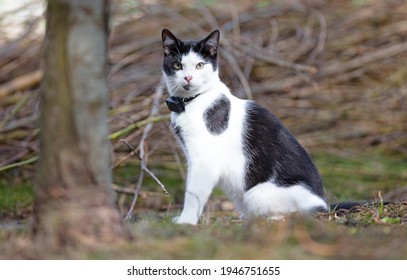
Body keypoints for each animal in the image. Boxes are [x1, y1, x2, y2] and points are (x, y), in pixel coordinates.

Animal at [162, 29, 328, 225]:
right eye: (177, 65)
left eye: (200, 65)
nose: (188, 77)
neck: (191, 102)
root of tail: (323, 204)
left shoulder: (204, 161)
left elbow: (193, 193)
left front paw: (186, 221)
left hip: (256, 193)